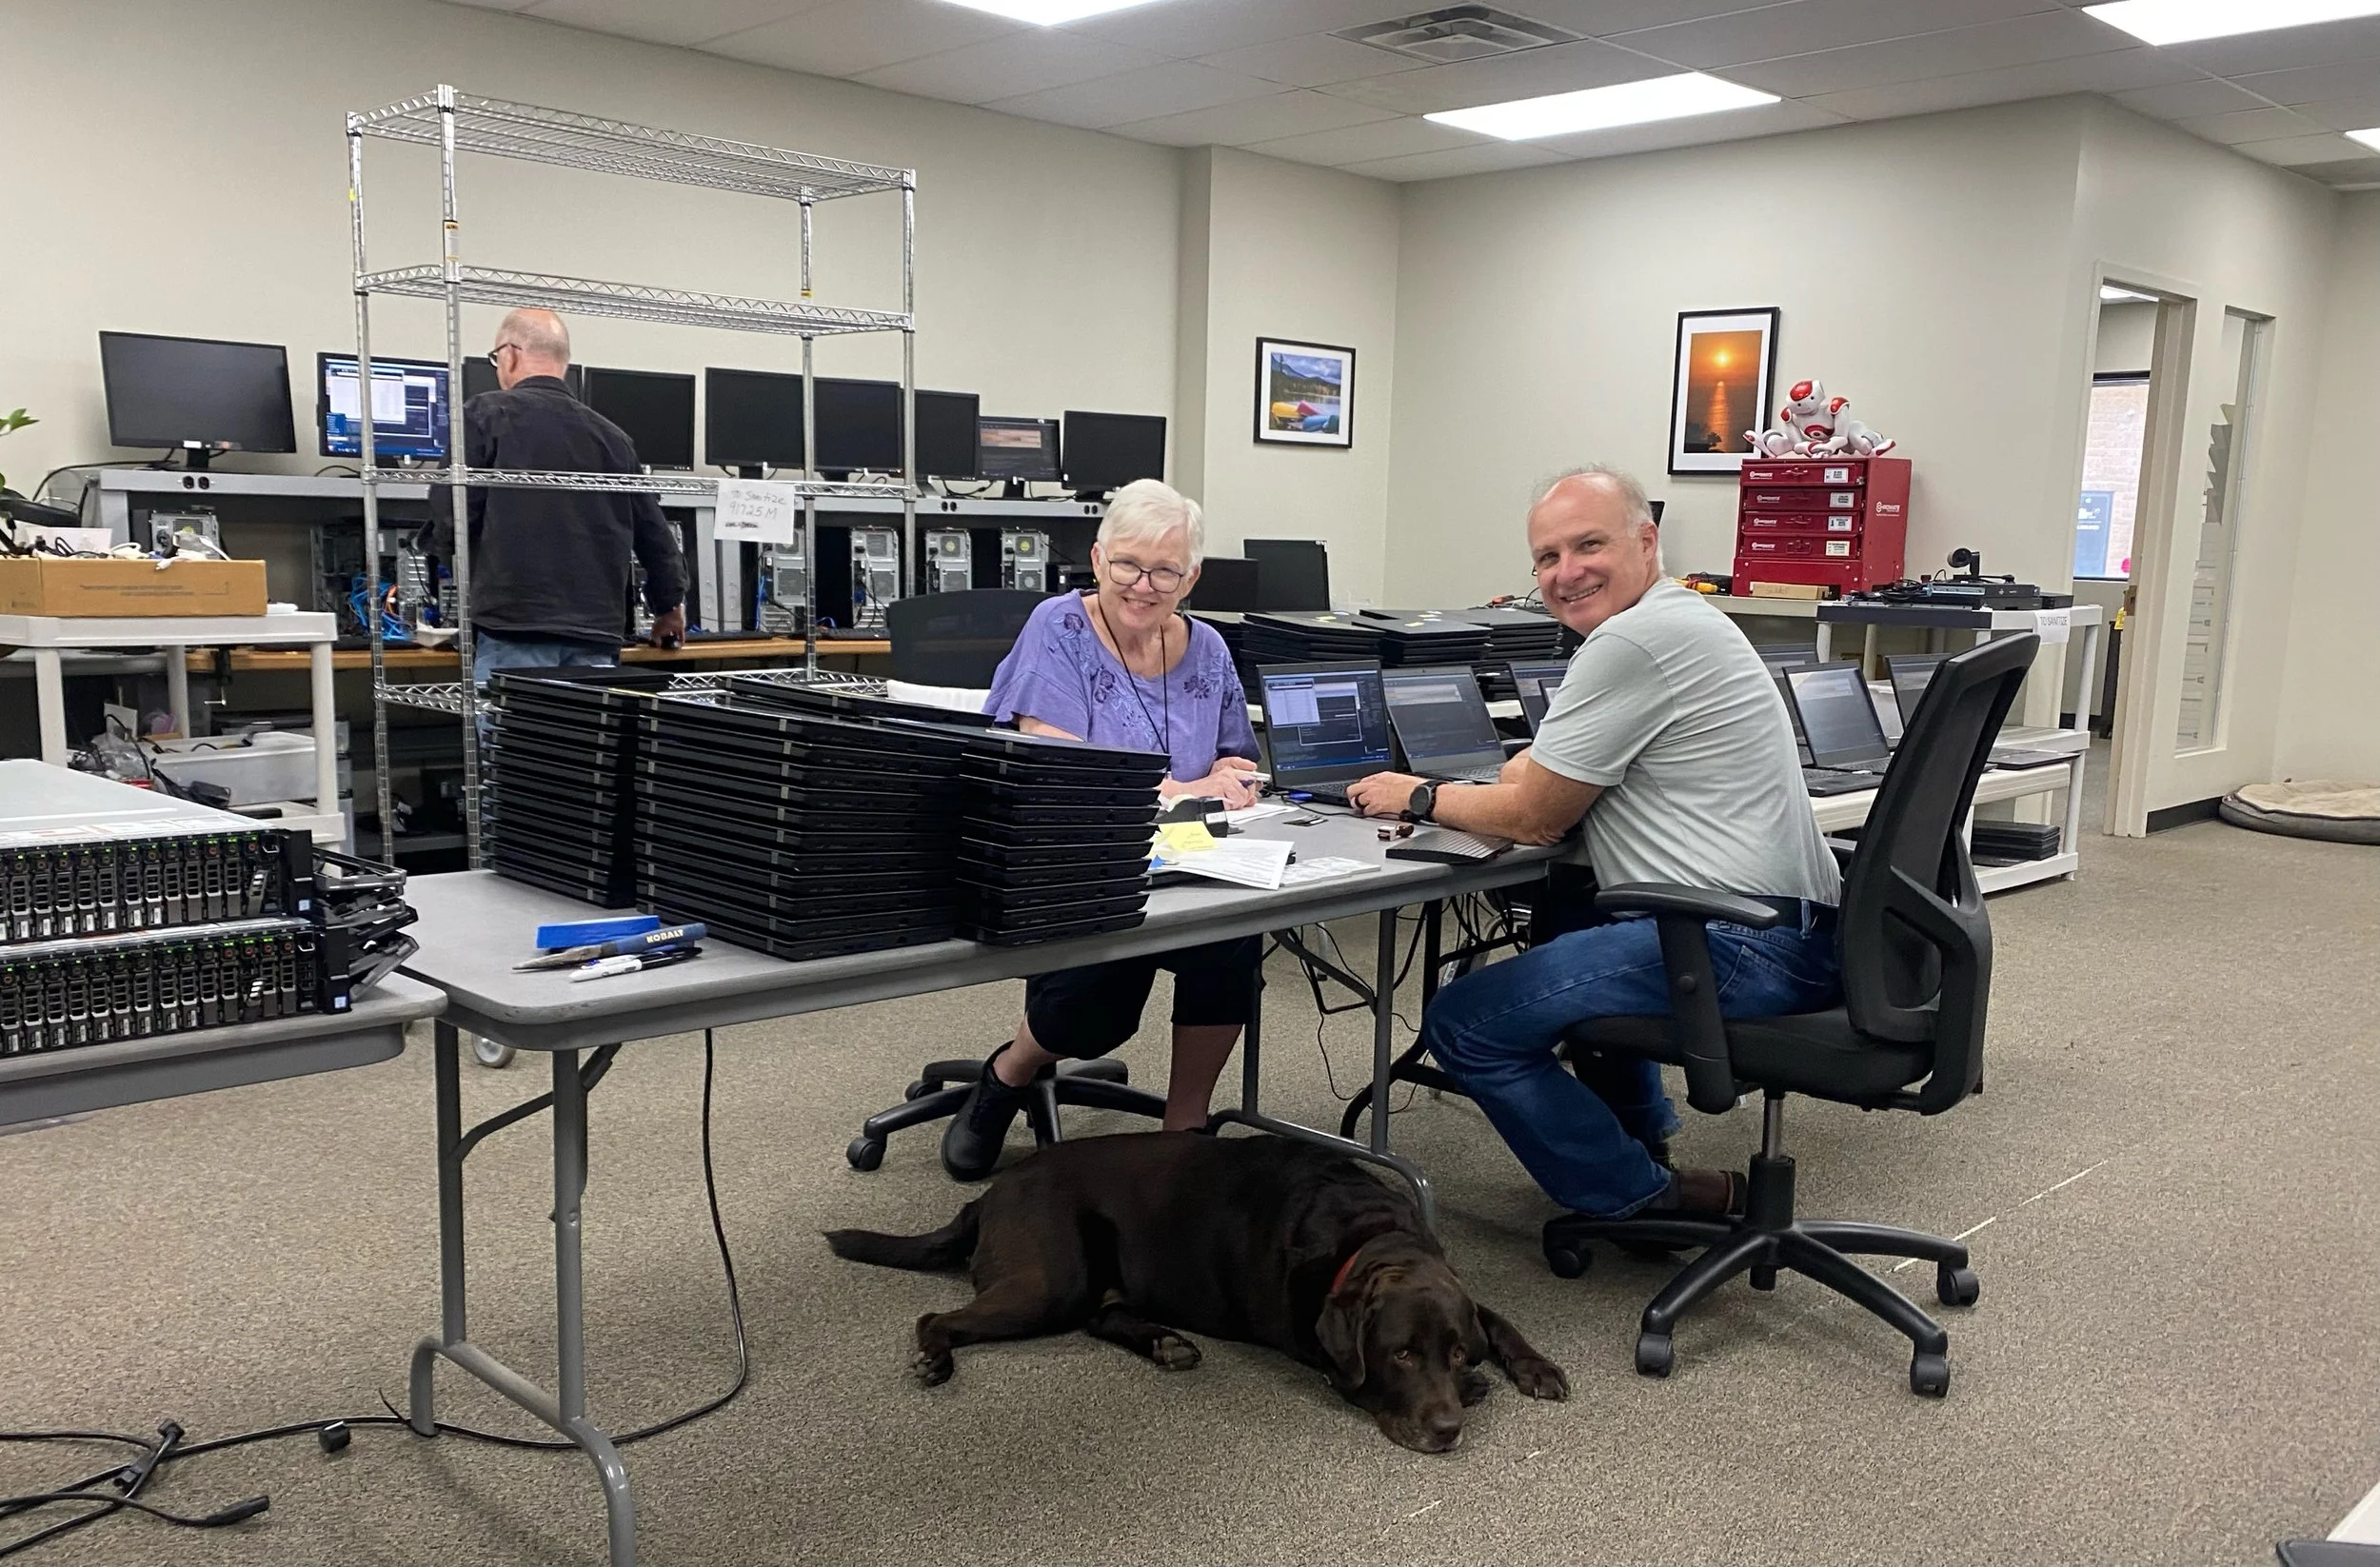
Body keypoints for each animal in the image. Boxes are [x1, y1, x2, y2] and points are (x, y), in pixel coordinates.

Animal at [825, 1131, 1569, 1452]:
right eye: (1402, 1355)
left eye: (1454, 1349)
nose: (1447, 1430)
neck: (1369, 1235)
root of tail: (991, 1192)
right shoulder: (1322, 1352)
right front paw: (1481, 1386)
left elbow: (1497, 1317)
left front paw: (1530, 1367)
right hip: (1052, 1281)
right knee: (938, 1314)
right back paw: (935, 1357)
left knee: (1104, 1318)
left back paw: (1165, 1343)